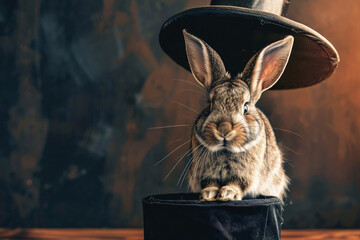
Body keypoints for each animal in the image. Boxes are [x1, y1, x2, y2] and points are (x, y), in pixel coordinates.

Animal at [184, 30, 294, 202]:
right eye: (210, 105)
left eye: (246, 107)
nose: (224, 129)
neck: (225, 150)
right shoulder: (205, 171)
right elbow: (210, 183)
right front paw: (208, 195)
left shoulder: (246, 174)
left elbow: (237, 182)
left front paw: (228, 194)